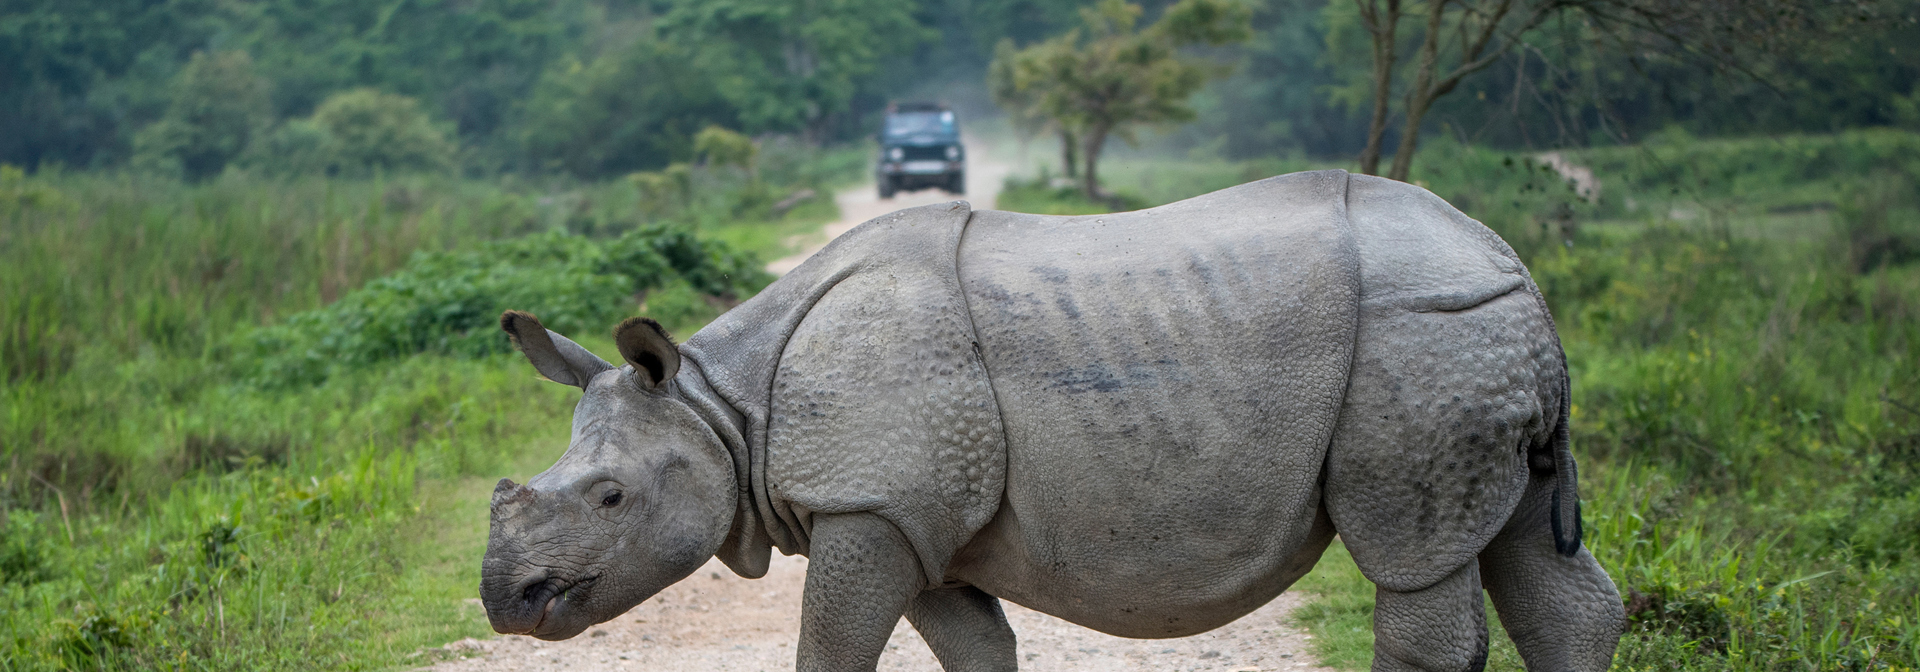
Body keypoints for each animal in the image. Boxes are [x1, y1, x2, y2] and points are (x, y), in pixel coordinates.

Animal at [478, 170, 1626, 671]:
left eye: (610, 497)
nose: (505, 599)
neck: (725, 408)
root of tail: (1516, 269)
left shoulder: (869, 501)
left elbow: (832, 651)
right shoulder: (916, 517)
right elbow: (977, 654)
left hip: (1421, 336)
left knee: (1414, 557)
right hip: (1468, 339)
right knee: (1530, 553)